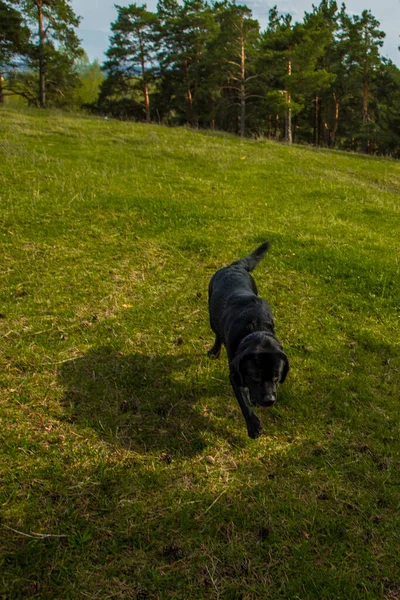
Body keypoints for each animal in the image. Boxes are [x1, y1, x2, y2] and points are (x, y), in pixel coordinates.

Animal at [208, 241, 290, 438]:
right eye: (255, 376)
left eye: (276, 376)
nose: (269, 400)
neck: (256, 328)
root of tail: (234, 266)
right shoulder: (235, 374)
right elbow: (243, 402)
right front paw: (253, 426)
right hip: (211, 316)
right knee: (217, 334)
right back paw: (214, 351)